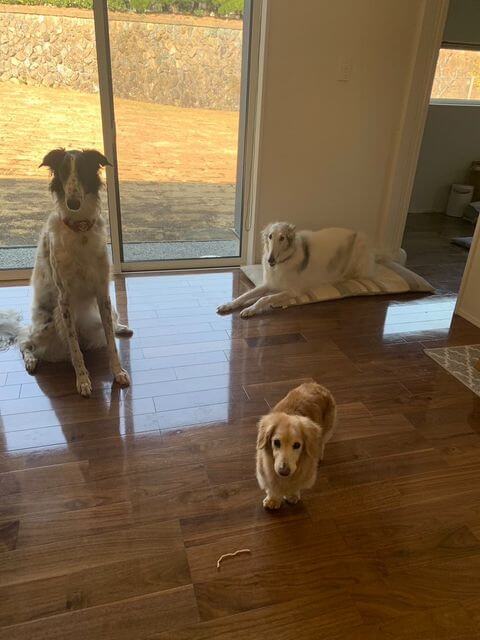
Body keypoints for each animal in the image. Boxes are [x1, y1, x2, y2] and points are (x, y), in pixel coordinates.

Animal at [0, 148, 132, 397]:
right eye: (62, 172)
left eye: (83, 170)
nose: (73, 202)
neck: (80, 229)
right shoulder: (65, 300)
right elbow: (74, 349)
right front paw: (83, 380)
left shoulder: (102, 292)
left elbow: (111, 343)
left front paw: (118, 372)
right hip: (47, 327)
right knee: (26, 341)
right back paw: (30, 360)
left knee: (110, 326)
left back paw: (121, 328)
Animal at [218, 223, 377, 318]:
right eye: (270, 236)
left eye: (282, 238)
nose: (270, 260)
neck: (283, 262)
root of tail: (355, 232)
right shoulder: (268, 284)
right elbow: (245, 295)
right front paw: (228, 305)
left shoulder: (293, 291)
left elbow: (264, 298)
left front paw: (250, 309)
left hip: (359, 249)